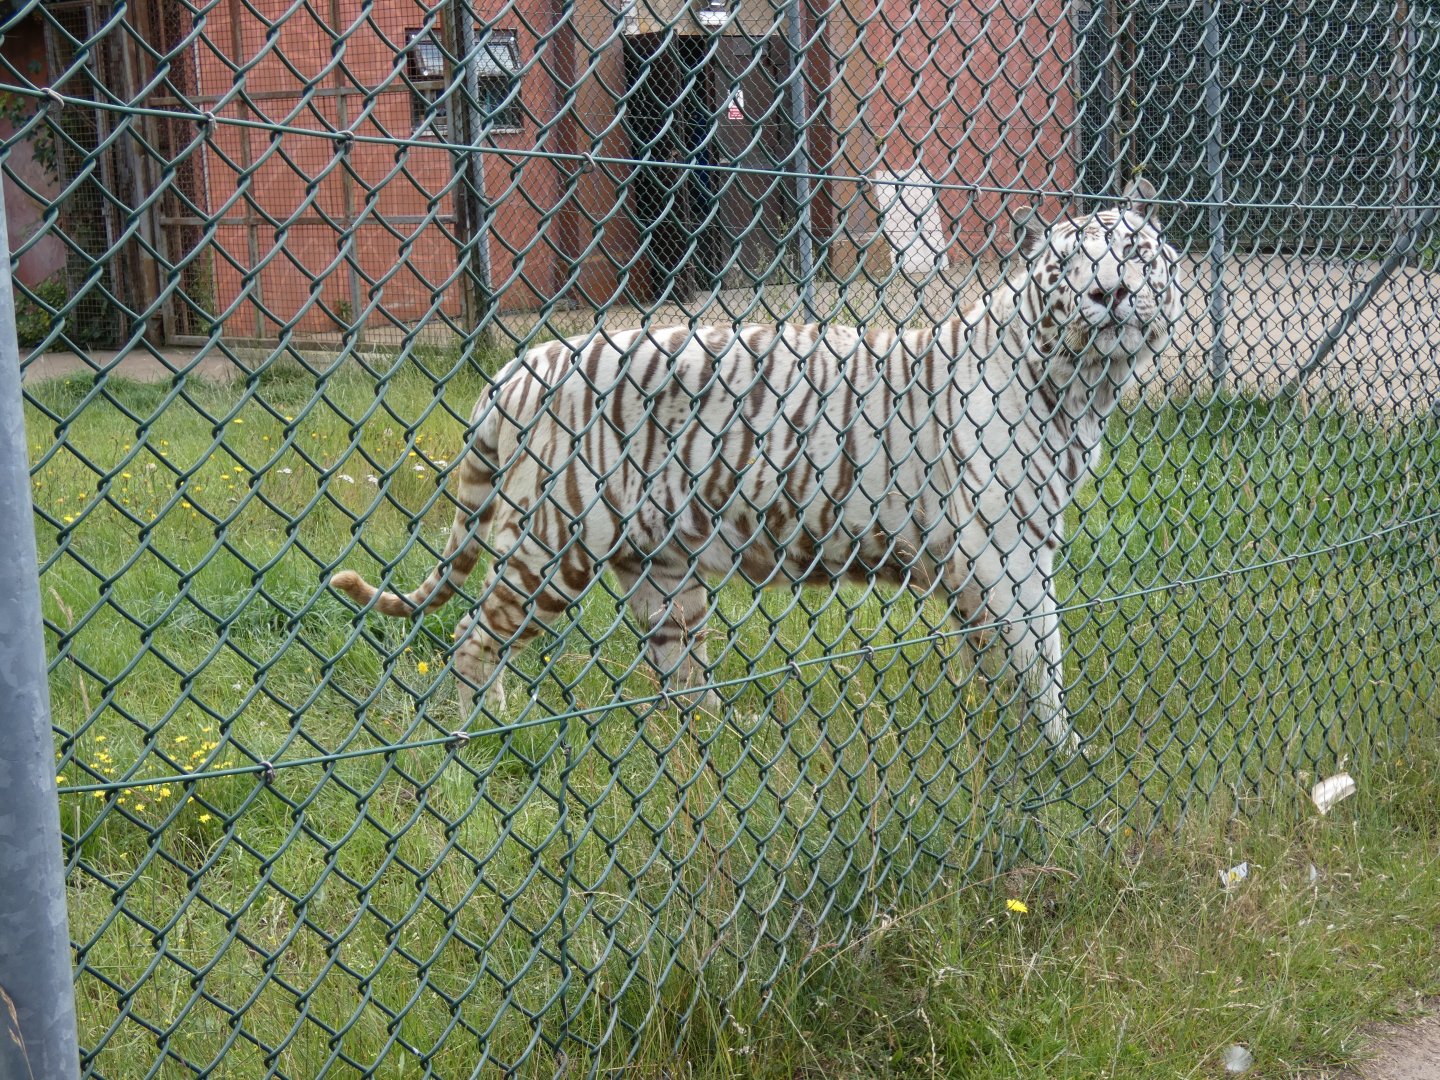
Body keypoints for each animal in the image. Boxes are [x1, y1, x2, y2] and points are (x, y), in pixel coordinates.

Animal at [330, 182, 1182, 754]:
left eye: (1135, 250)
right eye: (1067, 266)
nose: (1110, 293)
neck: (1083, 386)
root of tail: (519, 365)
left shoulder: (995, 558)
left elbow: (1005, 657)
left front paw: (1013, 735)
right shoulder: (1003, 549)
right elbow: (1042, 651)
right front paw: (1061, 753)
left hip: (664, 573)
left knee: (677, 678)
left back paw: (719, 740)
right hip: (556, 540)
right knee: (474, 632)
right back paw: (474, 733)